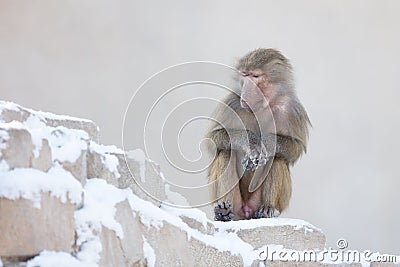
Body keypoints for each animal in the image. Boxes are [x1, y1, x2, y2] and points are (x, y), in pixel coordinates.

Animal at [205, 48, 310, 222]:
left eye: (255, 76)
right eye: (244, 75)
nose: (246, 92)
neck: (263, 105)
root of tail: (246, 212)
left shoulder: (293, 109)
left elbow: (296, 148)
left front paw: (265, 143)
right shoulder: (231, 102)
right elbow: (212, 140)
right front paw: (251, 144)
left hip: (260, 203)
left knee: (277, 158)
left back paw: (267, 209)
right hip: (236, 204)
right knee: (226, 153)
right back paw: (224, 212)